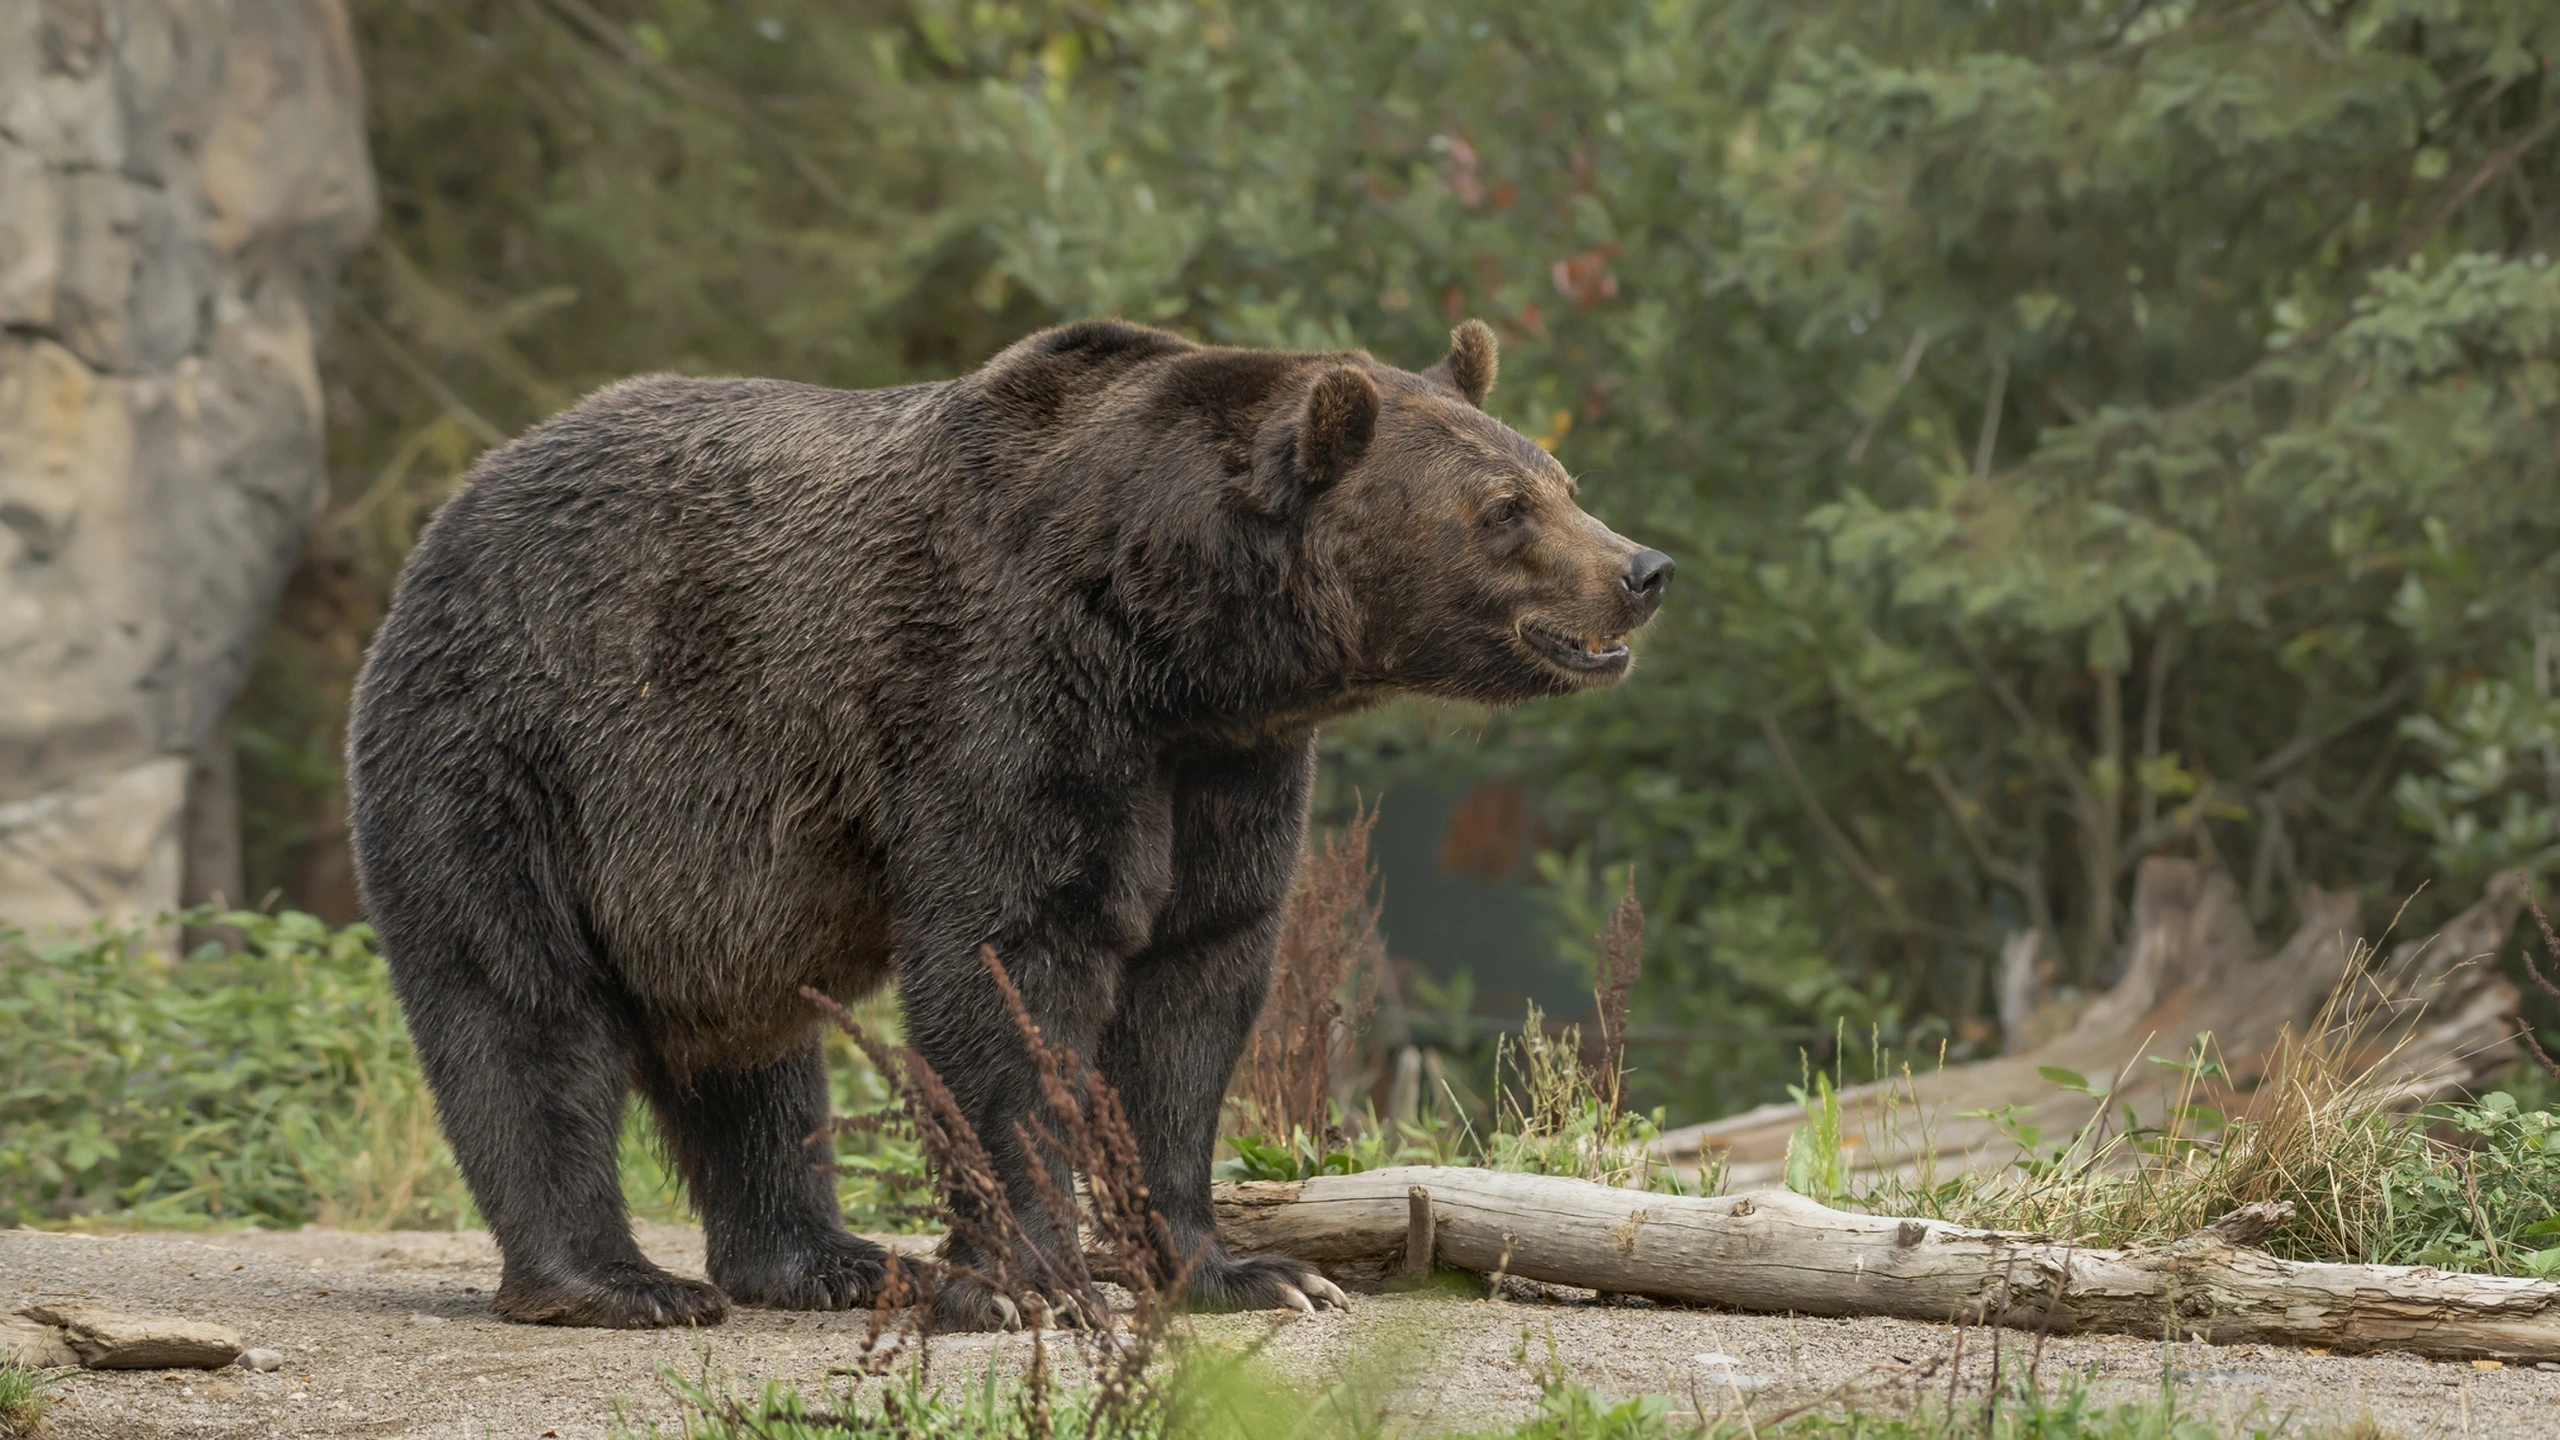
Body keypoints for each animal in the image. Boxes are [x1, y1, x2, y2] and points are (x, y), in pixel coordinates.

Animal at [350, 313, 1669, 1322]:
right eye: (1503, 507)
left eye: (1561, 482)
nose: (1642, 570)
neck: (1171, 640)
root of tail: (454, 507)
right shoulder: (1003, 693)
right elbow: (1009, 966)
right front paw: (1033, 1281)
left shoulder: (1225, 768)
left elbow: (1195, 989)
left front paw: (1246, 1270)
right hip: (516, 751)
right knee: (520, 1009)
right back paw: (617, 1283)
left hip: (704, 883)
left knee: (755, 1060)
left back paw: (824, 1259)